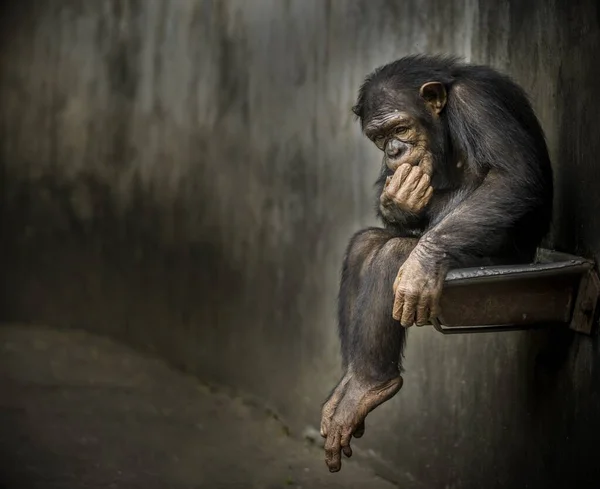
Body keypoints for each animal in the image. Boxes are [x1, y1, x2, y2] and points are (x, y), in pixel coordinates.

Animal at [318, 55, 552, 470]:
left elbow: (510, 179)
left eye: (400, 128)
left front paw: (419, 267)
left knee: (394, 255)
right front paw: (396, 200)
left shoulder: (476, 103)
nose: (394, 150)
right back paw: (350, 387)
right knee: (367, 244)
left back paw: (370, 385)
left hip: (490, 257)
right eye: (379, 137)